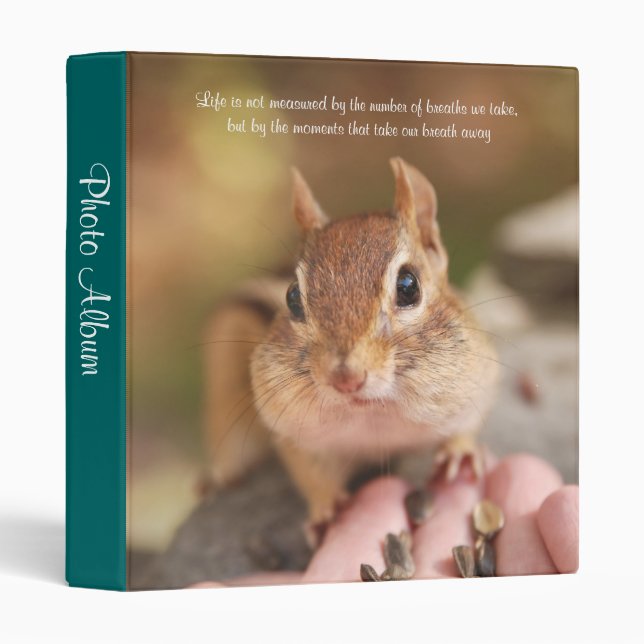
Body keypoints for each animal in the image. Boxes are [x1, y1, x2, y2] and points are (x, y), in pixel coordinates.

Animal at [202, 158, 498, 541]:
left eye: (409, 286)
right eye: (292, 297)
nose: (345, 378)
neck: (374, 414)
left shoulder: (478, 378)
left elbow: (469, 423)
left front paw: (458, 453)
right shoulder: (294, 431)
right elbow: (309, 472)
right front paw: (326, 509)